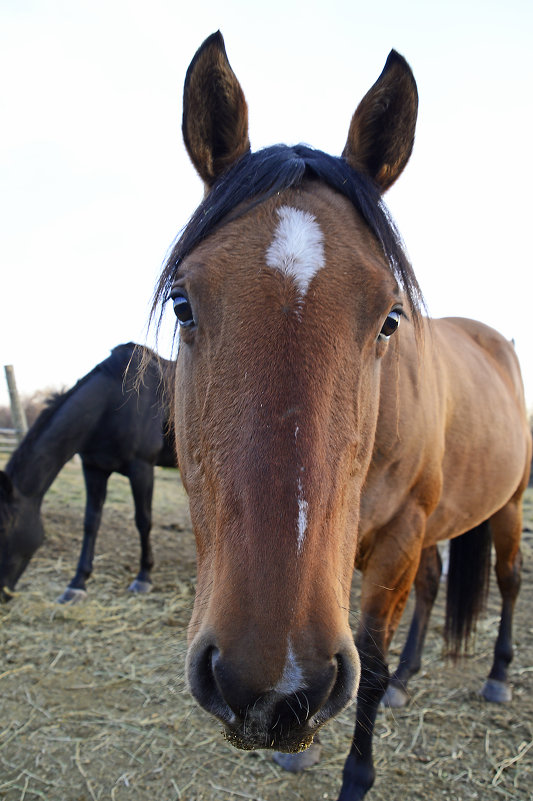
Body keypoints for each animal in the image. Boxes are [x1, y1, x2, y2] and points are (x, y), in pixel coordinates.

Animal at [0, 342, 177, 600]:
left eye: (2, 530)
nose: (1, 593)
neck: (114, 403)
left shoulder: (142, 468)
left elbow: (143, 520)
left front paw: (143, 577)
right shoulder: (94, 468)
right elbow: (91, 521)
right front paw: (77, 583)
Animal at [152, 32, 528, 800]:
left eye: (389, 317)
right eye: (182, 302)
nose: (272, 687)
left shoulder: (397, 540)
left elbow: (371, 661)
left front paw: (356, 774)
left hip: (505, 505)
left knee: (506, 581)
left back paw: (498, 675)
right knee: (433, 588)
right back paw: (412, 680)